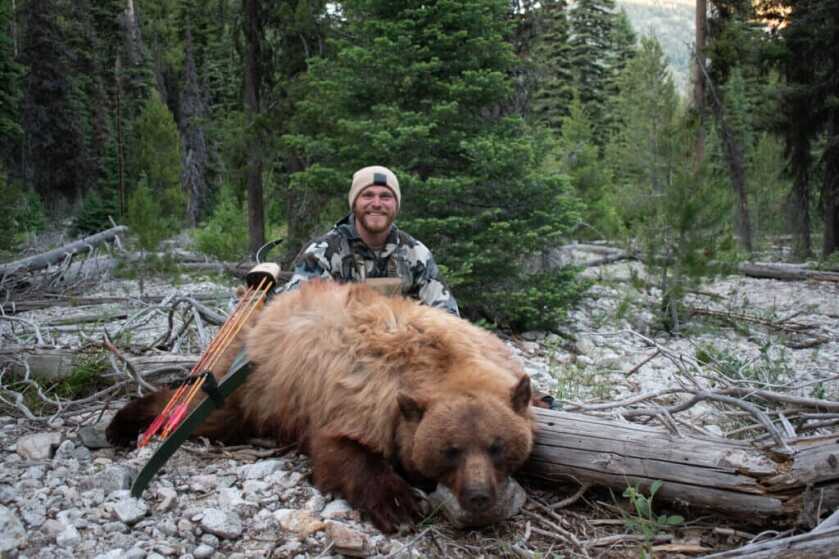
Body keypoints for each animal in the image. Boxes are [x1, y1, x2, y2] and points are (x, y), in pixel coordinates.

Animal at [107, 279, 535, 533]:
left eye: (497, 447)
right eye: (451, 450)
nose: (478, 496)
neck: (436, 361)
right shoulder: (359, 395)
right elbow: (337, 450)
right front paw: (398, 504)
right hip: (253, 382)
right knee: (205, 413)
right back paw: (121, 424)